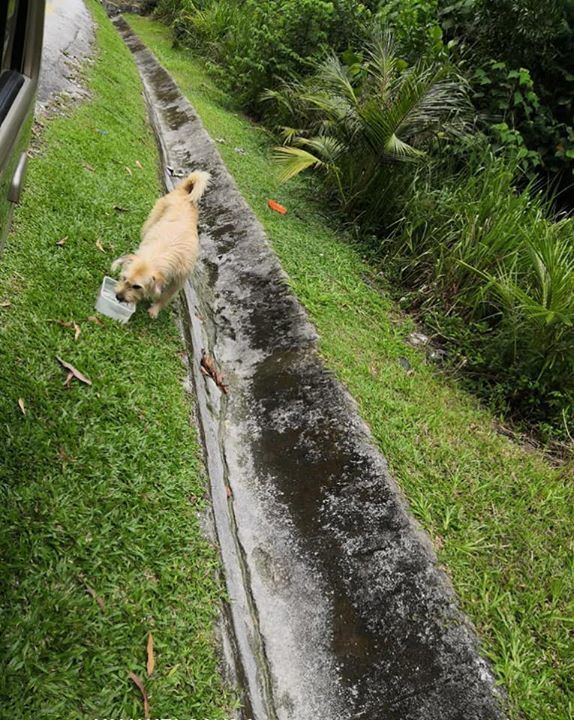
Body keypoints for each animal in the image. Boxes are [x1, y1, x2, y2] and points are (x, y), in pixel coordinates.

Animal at [113, 172, 212, 318]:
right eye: (124, 278)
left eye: (137, 287)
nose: (118, 297)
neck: (163, 251)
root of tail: (184, 192)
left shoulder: (177, 283)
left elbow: (164, 297)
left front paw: (155, 309)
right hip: (153, 218)